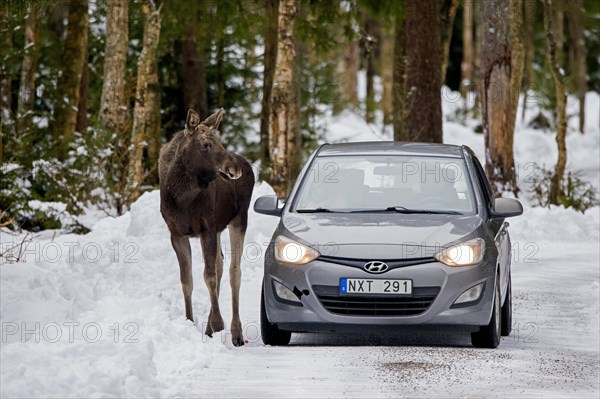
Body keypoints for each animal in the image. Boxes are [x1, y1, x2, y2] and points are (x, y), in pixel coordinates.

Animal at [159, 108, 253, 346]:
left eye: (220, 141)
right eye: (205, 145)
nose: (234, 169)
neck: (183, 197)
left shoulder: (206, 227)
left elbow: (208, 275)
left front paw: (218, 324)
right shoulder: (176, 233)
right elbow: (187, 280)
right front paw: (189, 322)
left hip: (239, 218)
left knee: (234, 270)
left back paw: (235, 332)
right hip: (219, 227)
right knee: (220, 263)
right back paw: (210, 328)